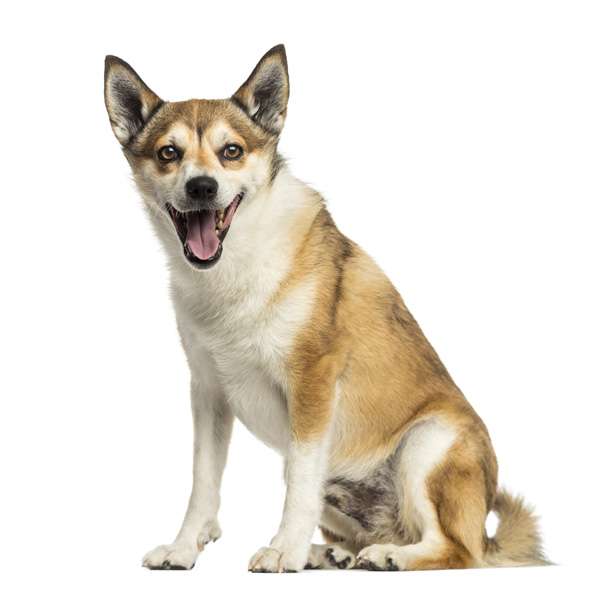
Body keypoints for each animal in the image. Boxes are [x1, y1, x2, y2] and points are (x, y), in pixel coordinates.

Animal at [104, 45, 547, 572]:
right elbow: (203, 483)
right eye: (168, 153)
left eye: (231, 151)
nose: (202, 188)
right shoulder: (208, 393)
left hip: (428, 445)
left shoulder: (312, 383)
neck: (239, 264)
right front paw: (186, 545)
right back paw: (332, 553)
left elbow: (299, 485)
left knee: (457, 550)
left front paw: (283, 551)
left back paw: (387, 556)